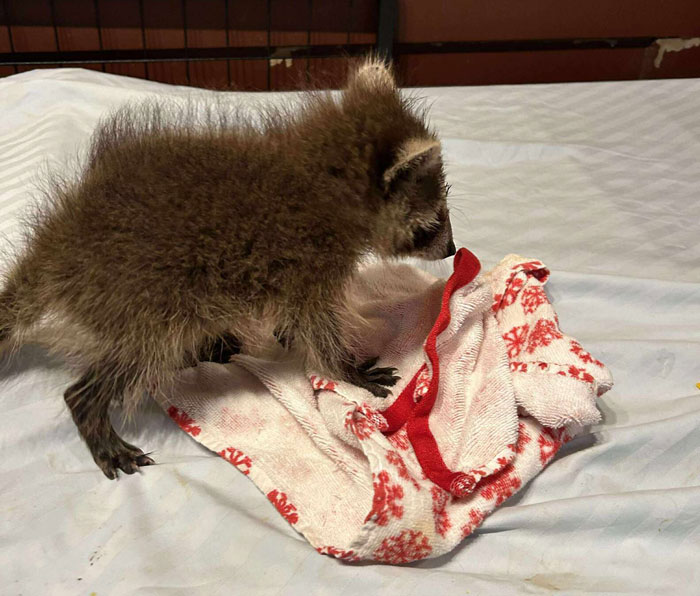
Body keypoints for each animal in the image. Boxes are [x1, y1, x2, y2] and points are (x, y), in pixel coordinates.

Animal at [0, 58, 455, 479]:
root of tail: (61, 242)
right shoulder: (309, 261)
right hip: (140, 297)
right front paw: (347, 368)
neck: (325, 171)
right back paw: (91, 407)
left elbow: (295, 319)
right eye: (434, 222)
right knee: (136, 355)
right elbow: (316, 326)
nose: (452, 248)